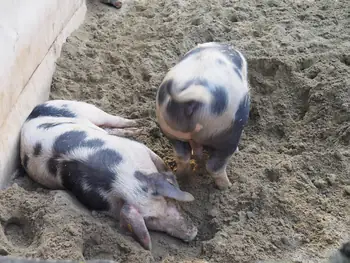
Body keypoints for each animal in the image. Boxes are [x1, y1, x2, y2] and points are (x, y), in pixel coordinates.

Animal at [19, 100, 197, 251]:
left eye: (168, 201)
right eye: (150, 220)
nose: (193, 234)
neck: (124, 181)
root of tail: (33, 111)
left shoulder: (139, 148)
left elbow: (161, 163)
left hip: (85, 109)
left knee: (115, 121)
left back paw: (143, 124)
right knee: (109, 129)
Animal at [155, 42, 249, 192]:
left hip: (168, 128)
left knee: (182, 156)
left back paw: (181, 176)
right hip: (226, 130)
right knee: (214, 166)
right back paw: (228, 187)